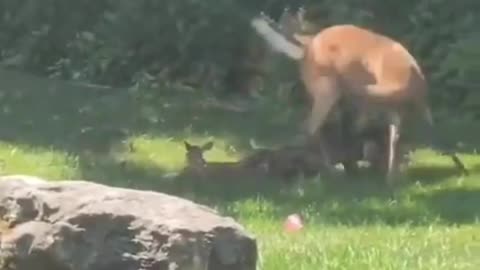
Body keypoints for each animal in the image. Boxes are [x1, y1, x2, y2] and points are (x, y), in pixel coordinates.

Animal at [249, 8, 466, 186]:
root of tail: (309, 43)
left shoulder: (413, 107)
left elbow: (421, 134)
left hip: (333, 97)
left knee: (320, 128)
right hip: (327, 91)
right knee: (311, 128)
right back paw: (331, 171)